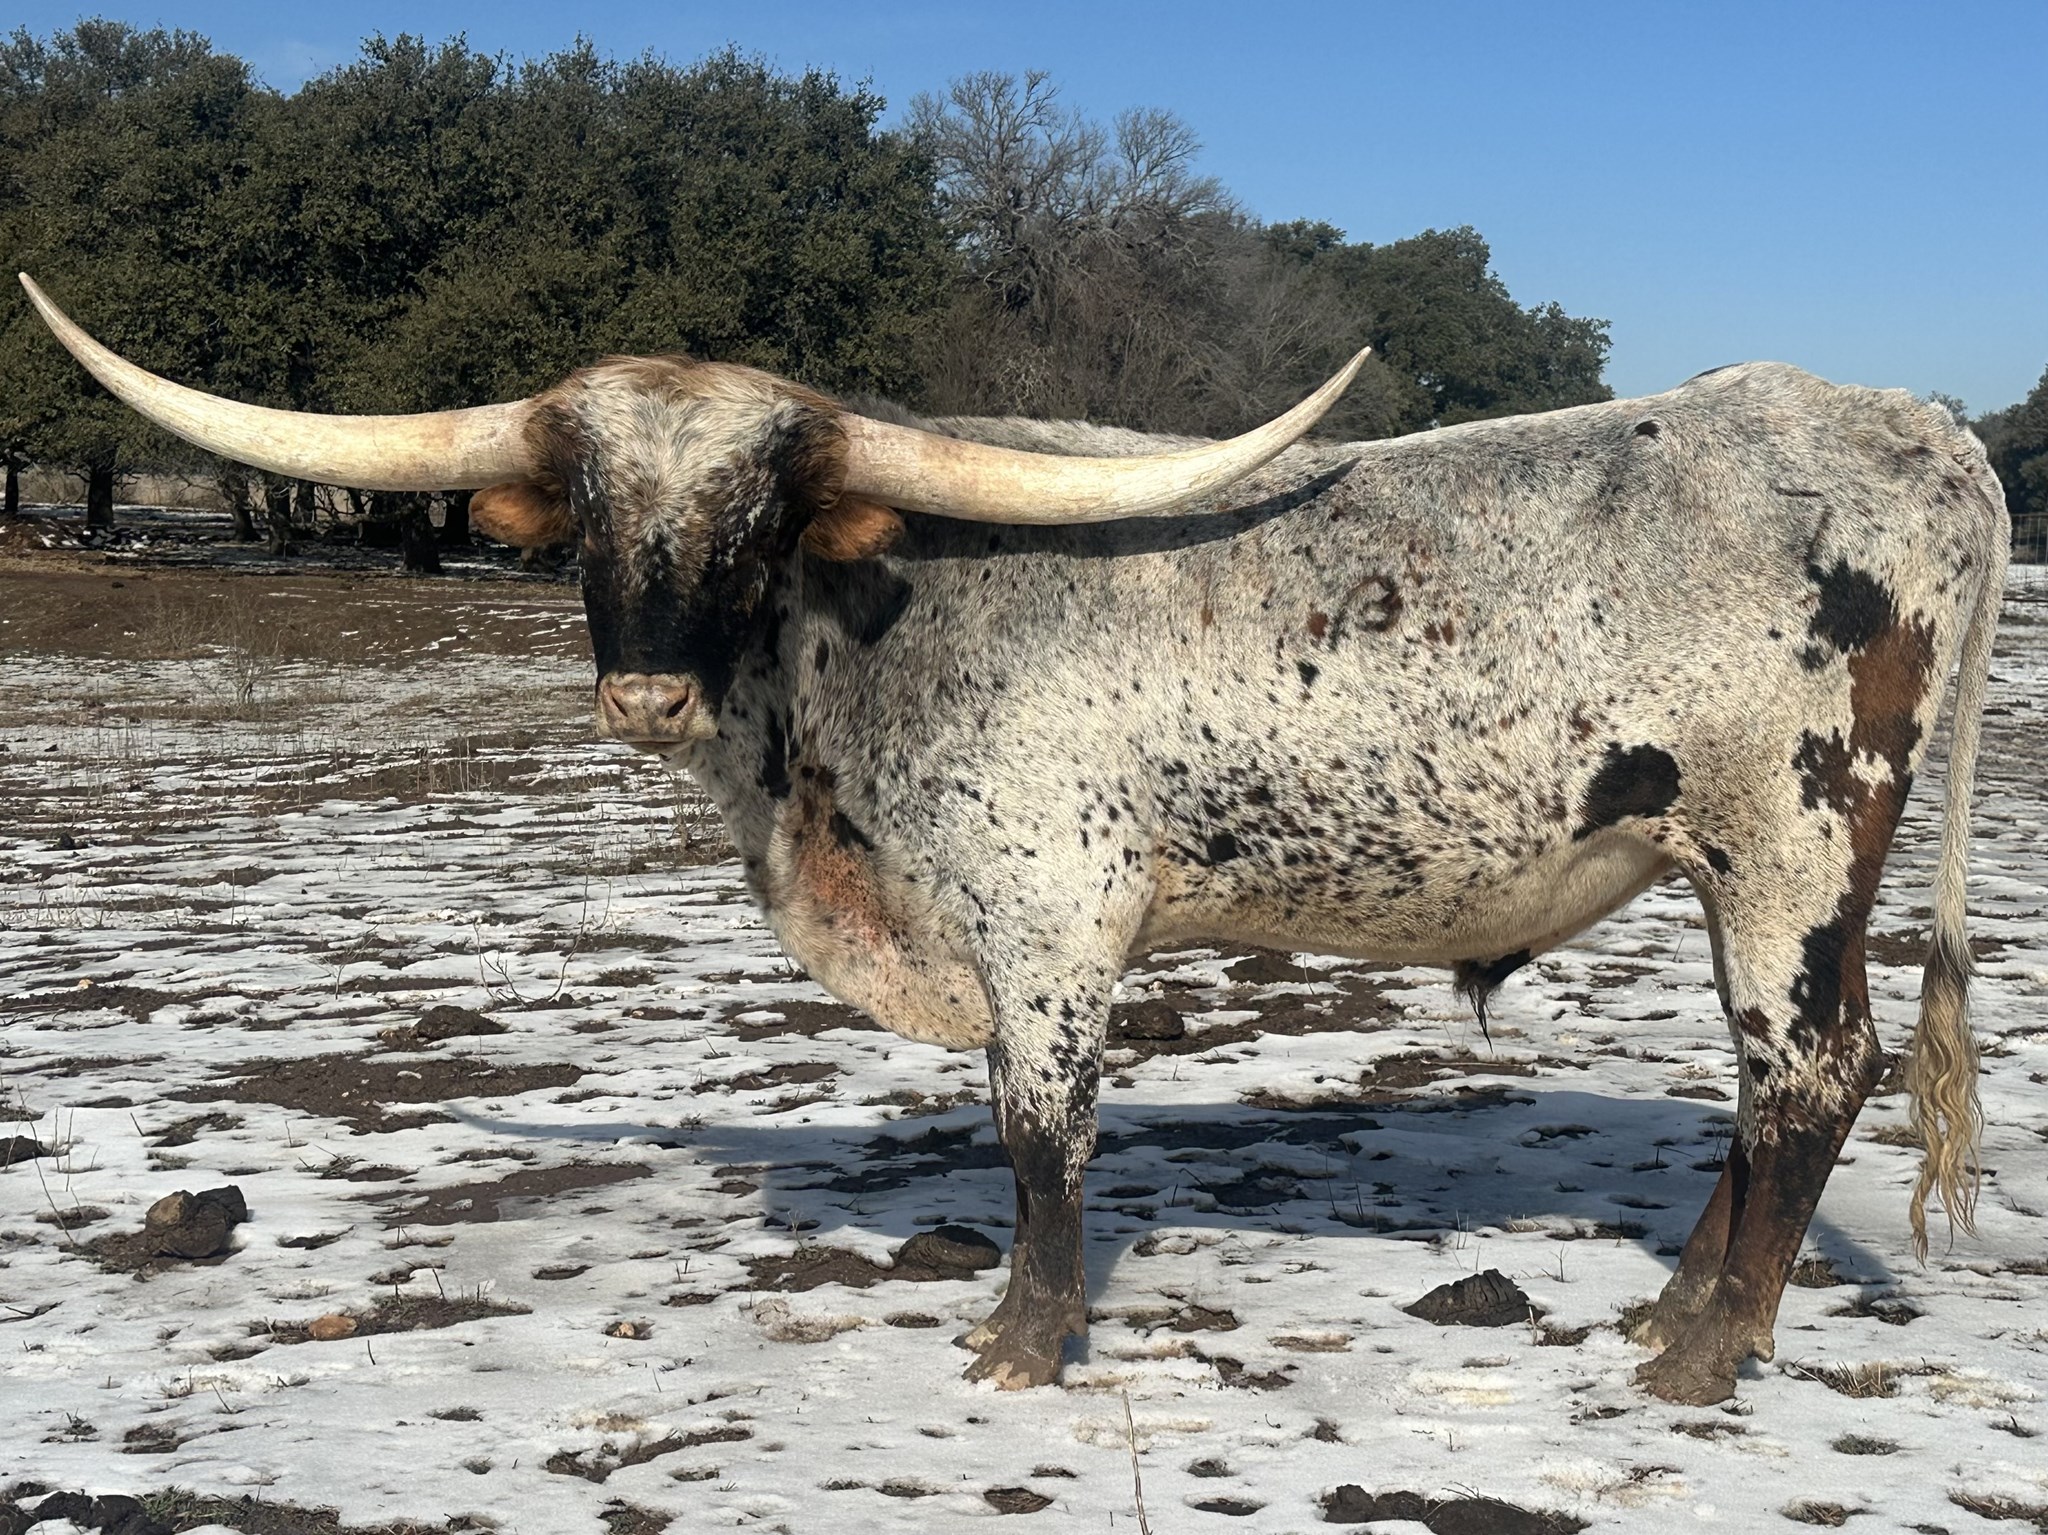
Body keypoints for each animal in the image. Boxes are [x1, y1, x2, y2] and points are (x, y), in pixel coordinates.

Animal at [21, 272, 2008, 1407]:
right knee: (1770, 1095)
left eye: (764, 509)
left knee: (1807, 1076)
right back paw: (1680, 1315)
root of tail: (1908, 422)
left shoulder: (1049, 921)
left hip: (1793, 847)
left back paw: (1704, 1354)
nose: (646, 691)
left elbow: (1039, 1134)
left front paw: (1026, 1340)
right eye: (585, 504)